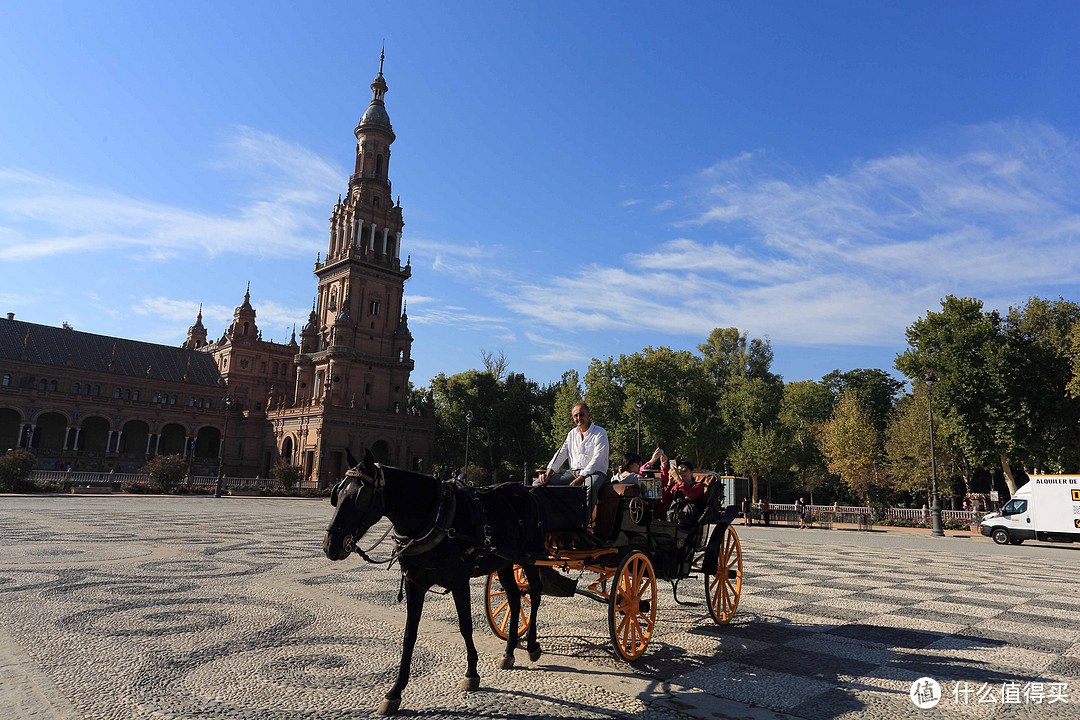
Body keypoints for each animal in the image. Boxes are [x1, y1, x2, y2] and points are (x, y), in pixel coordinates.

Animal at [317, 451, 540, 716]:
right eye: (337, 494)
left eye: (359, 497)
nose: (330, 546)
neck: (435, 517)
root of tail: (522, 488)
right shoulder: (414, 583)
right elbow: (409, 634)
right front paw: (395, 691)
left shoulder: (460, 582)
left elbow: (465, 626)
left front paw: (472, 673)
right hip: (504, 562)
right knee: (515, 597)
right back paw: (509, 651)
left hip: (529, 558)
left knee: (535, 595)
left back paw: (532, 646)